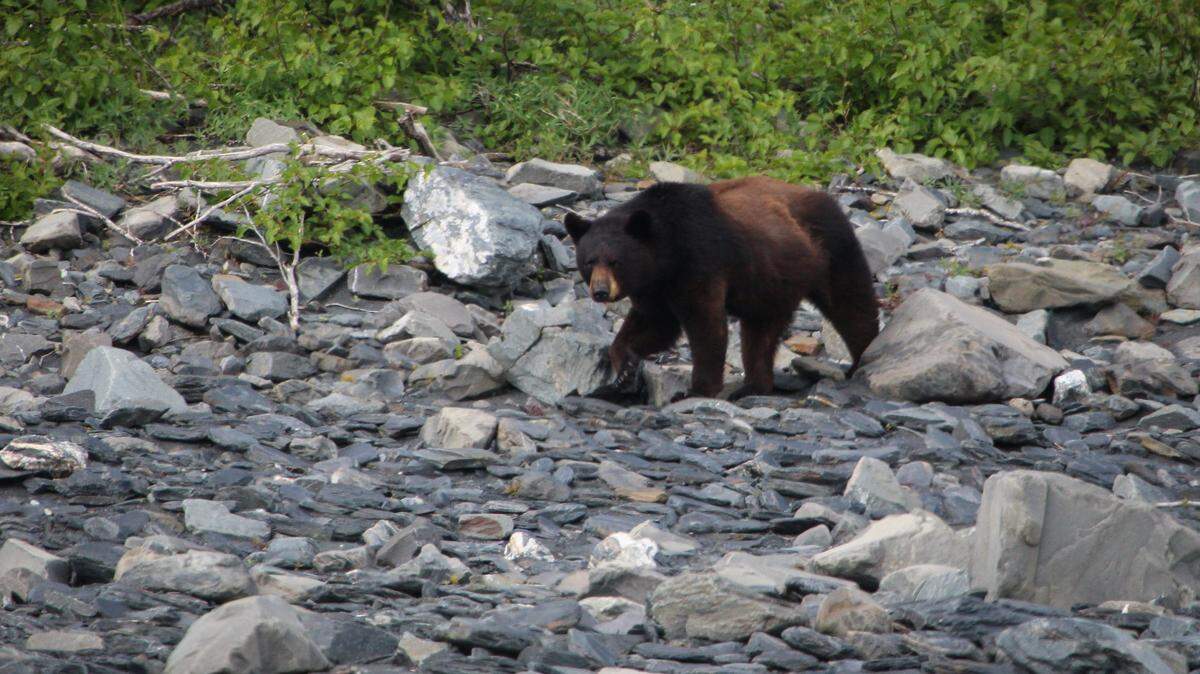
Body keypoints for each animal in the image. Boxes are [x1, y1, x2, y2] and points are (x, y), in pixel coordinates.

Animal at [565, 176, 879, 400]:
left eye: (615, 261)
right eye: (589, 261)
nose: (600, 291)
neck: (665, 252)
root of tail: (827, 197)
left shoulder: (700, 260)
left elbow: (704, 323)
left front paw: (696, 389)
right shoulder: (654, 286)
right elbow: (655, 324)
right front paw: (623, 369)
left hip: (830, 248)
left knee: (851, 303)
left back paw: (860, 359)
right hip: (771, 283)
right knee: (759, 335)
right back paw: (752, 386)